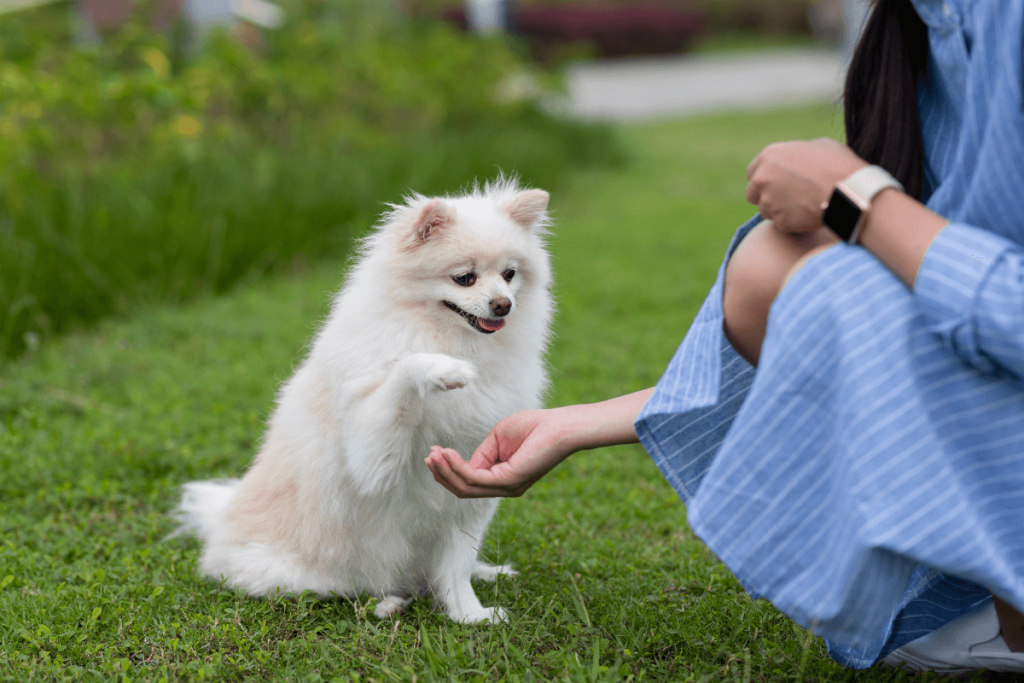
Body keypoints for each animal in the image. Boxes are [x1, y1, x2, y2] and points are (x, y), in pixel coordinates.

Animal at [176, 178, 552, 626]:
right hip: (304, 575)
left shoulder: (469, 493)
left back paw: (483, 572)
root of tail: (220, 522)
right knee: (344, 589)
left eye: (510, 275)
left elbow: (457, 564)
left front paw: (469, 615)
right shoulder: (371, 456)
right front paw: (442, 369)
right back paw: (389, 602)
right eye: (465, 278)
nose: (503, 305)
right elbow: (404, 369)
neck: (450, 336)